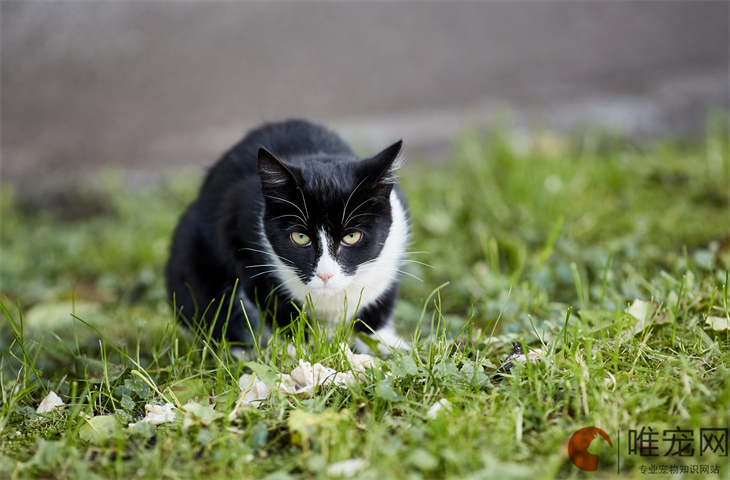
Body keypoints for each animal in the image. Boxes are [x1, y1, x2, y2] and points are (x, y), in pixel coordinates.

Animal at [164, 118, 410, 354]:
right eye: (300, 237)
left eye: (352, 237)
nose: (325, 275)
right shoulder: (237, 230)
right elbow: (270, 300)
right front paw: (295, 349)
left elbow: (380, 302)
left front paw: (384, 342)